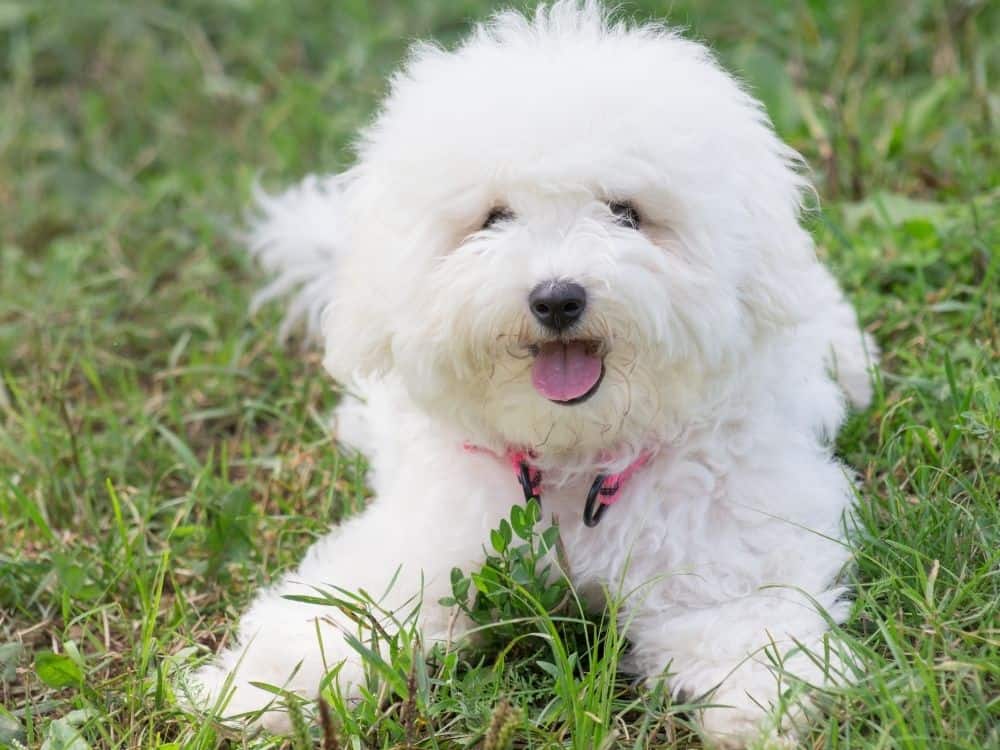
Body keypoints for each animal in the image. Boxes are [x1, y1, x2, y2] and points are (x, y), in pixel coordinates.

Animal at [186, 2, 876, 748]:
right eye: (494, 217)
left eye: (626, 213)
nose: (556, 298)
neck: (575, 461)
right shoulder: (430, 541)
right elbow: (347, 605)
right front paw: (253, 685)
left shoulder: (728, 547)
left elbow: (744, 623)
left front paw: (768, 702)